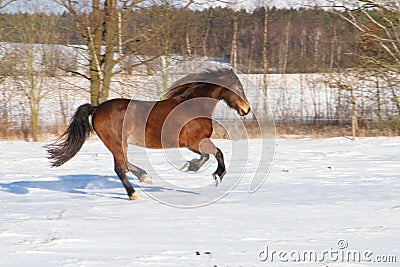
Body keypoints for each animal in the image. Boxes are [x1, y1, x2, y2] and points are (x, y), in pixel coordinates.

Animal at [46, 68, 250, 200]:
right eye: (238, 88)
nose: (246, 110)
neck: (194, 106)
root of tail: (96, 109)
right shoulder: (194, 142)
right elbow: (215, 153)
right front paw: (216, 174)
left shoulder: (194, 144)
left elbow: (208, 155)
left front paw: (192, 166)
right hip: (116, 142)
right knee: (120, 168)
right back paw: (134, 194)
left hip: (120, 143)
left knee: (124, 164)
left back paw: (145, 177)